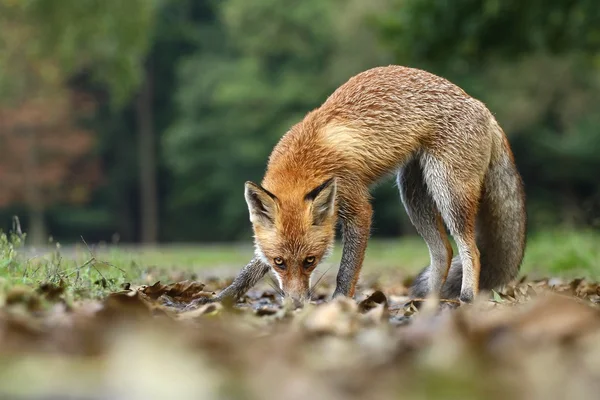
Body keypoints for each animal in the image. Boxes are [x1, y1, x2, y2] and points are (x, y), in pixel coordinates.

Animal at [200, 65, 524, 306]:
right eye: (279, 262)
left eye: (310, 261)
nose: (296, 304)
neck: (306, 158)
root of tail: (481, 106)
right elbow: (248, 271)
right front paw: (219, 299)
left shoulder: (356, 204)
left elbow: (346, 272)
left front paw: (337, 305)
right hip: (412, 192)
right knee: (443, 251)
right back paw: (426, 303)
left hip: (447, 189)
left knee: (471, 249)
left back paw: (466, 297)